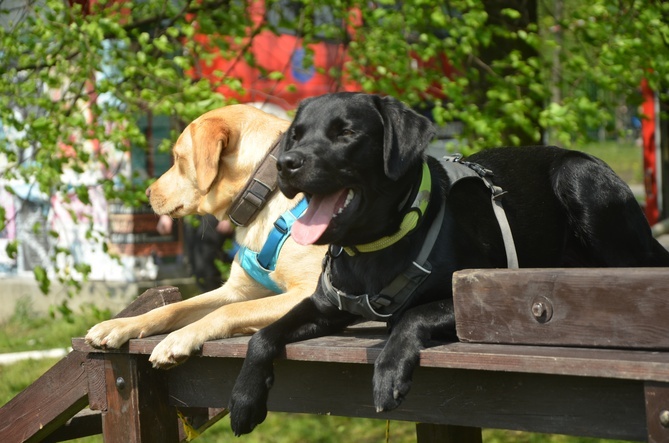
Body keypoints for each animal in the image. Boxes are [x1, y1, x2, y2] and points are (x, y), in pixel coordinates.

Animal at [86, 106, 326, 370]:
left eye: (178, 158)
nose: (147, 193)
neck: (266, 194)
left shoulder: (309, 293)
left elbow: (229, 311)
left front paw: (178, 339)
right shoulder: (237, 290)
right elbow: (172, 308)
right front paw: (118, 325)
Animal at [227, 92, 664, 436]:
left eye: (345, 133)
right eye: (296, 135)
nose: (286, 163)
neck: (376, 246)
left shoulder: (476, 296)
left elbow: (412, 315)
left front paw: (389, 372)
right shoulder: (326, 305)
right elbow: (263, 335)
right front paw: (244, 398)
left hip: (578, 176)